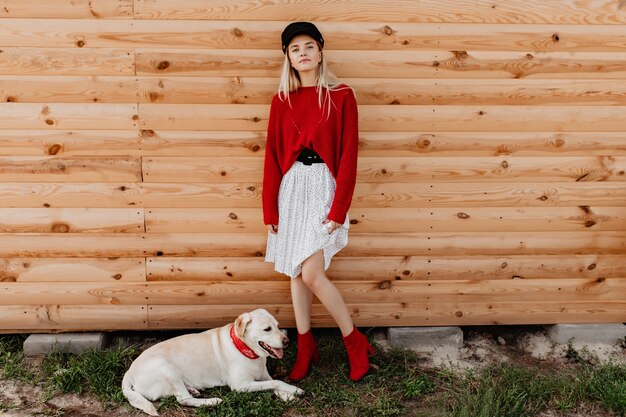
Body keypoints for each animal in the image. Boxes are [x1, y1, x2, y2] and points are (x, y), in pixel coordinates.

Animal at [121, 308, 302, 414]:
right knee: (184, 399)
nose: (287, 341)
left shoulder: (264, 375)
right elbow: (276, 382)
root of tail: (129, 372)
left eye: (277, 326)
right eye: (267, 329)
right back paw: (211, 401)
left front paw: (287, 395)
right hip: (167, 368)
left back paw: (193, 390)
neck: (247, 350)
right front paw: (294, 390)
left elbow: (273, 382)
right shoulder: (241, 386)